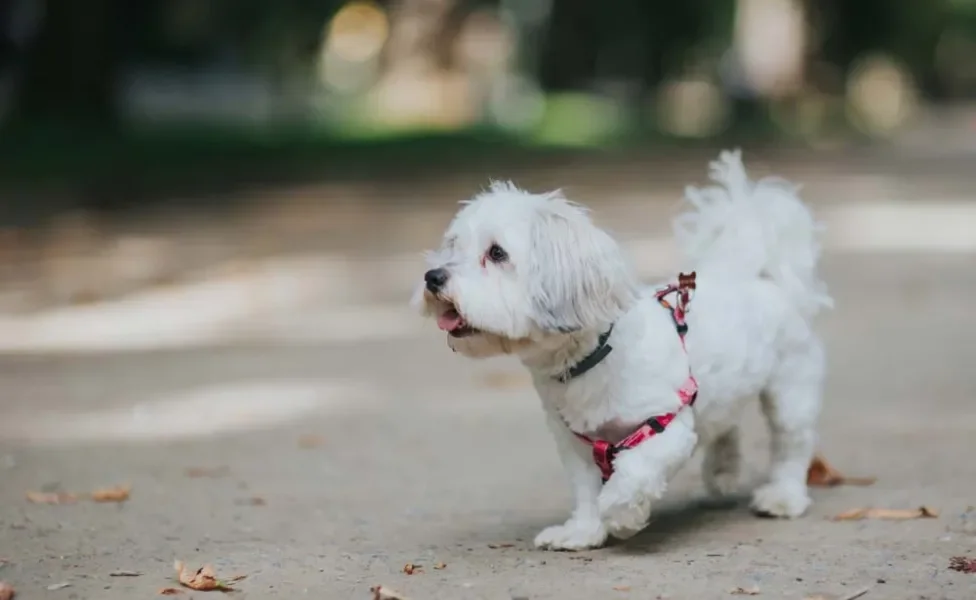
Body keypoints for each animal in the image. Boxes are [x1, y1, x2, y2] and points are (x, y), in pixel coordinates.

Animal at [412, 149, 832, 548]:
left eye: (497, 253)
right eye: (453, 246)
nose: (433, 277)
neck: (596, 355)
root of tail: (759, 276)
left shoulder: (664, 428)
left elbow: (631, 475)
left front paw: (622, 516)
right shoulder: (574, 443)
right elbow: (585, 491)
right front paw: (582, 531)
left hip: (790, 391)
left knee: (791, 444)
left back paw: (782, 496)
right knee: (725, 425)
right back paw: (723, 474)